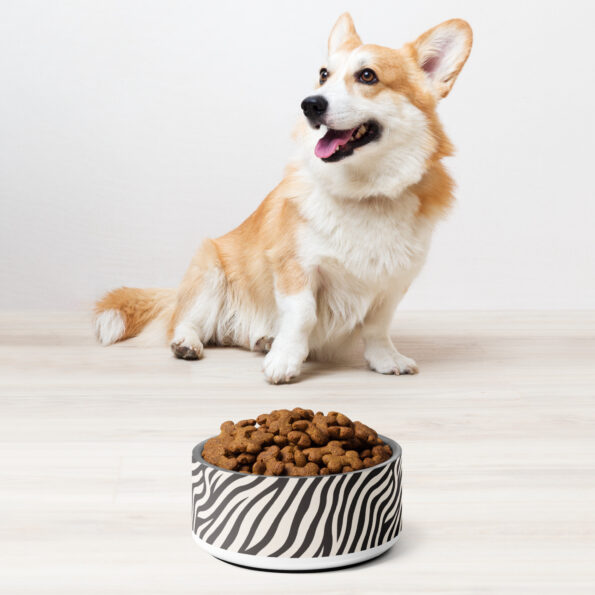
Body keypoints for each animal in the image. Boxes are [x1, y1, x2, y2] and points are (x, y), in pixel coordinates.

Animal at [95, 15, 472, 386]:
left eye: (368, 76)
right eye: (323, 74)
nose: (310, 104)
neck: (364, 192)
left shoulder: (392, 283)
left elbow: (377, 327)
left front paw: (386, 359)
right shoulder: (295, 266)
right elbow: (302, 315)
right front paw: (285, 360)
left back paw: (263, 339)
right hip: (210, 272)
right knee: (185, 321)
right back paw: (190, 343)